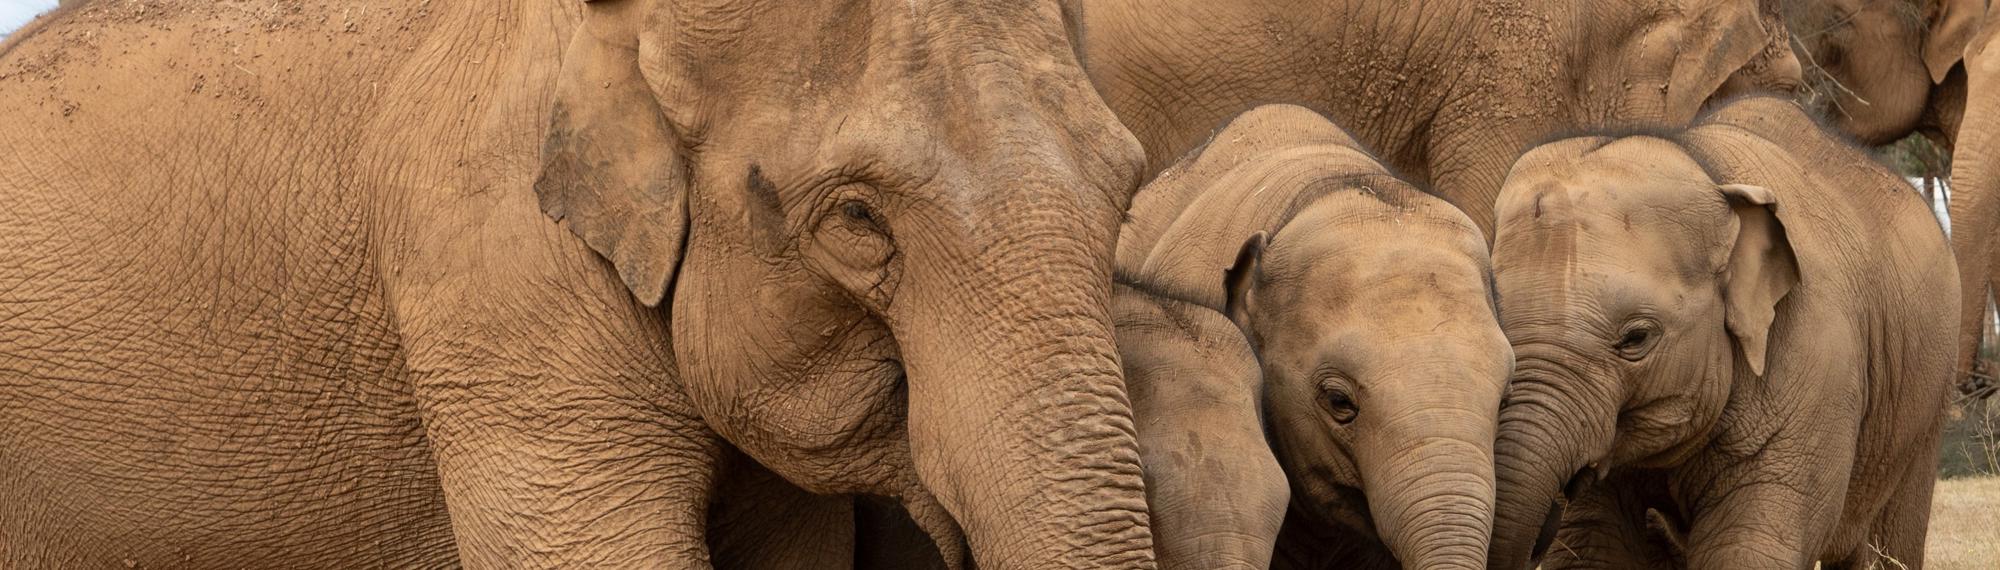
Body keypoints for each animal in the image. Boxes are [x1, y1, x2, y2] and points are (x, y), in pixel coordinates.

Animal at [1485, 96, 1958, 570]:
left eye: (1636, 338)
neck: (1708, 170)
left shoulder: (1816, 361)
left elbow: (1749, 543)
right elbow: (1595, 544)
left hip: (1925, 403)